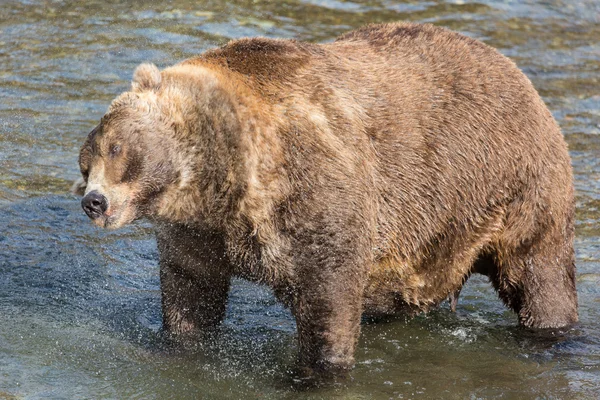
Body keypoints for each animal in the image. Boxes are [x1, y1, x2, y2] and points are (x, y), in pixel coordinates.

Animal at [74, 22, 576, 376]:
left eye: (117, 149)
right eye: (84, 163)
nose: (93, 201)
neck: (227, 183)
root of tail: (516, 72)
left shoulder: (316, 187)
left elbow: (328, 291)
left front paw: (315, 370)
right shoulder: (197, 232)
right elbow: (191, 293)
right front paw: (180, 343)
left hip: (514, 184)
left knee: (539, 272)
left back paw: (549, 333)